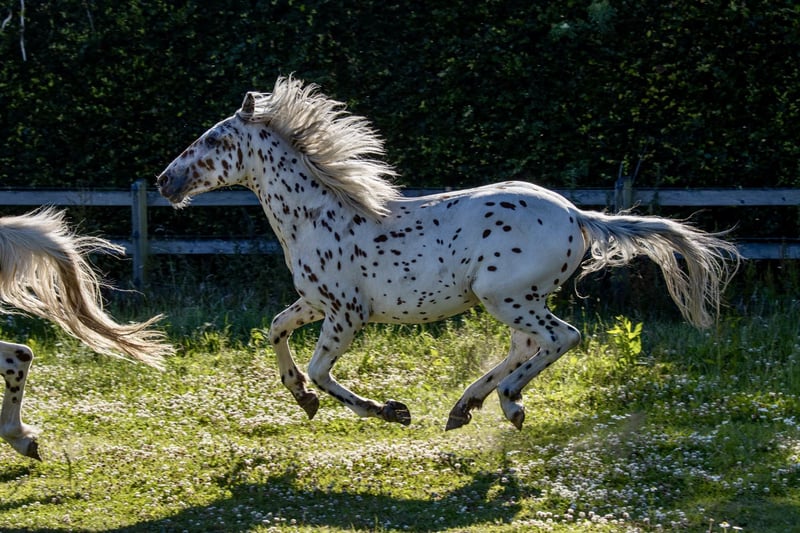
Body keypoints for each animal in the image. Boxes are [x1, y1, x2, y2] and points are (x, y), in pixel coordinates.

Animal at [157, 76, 739, 431]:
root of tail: (577, 216)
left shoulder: (347, 313)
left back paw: (507, 402)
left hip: (506, 296)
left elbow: (323, 369)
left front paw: (389, 410)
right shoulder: (315, 302)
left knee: (560, 338)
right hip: (513, 300)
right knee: (526, 345)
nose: (165, 180)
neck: (317, 216)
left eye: (212, 141)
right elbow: (276, 329)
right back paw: (467, 405)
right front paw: (301, 396)